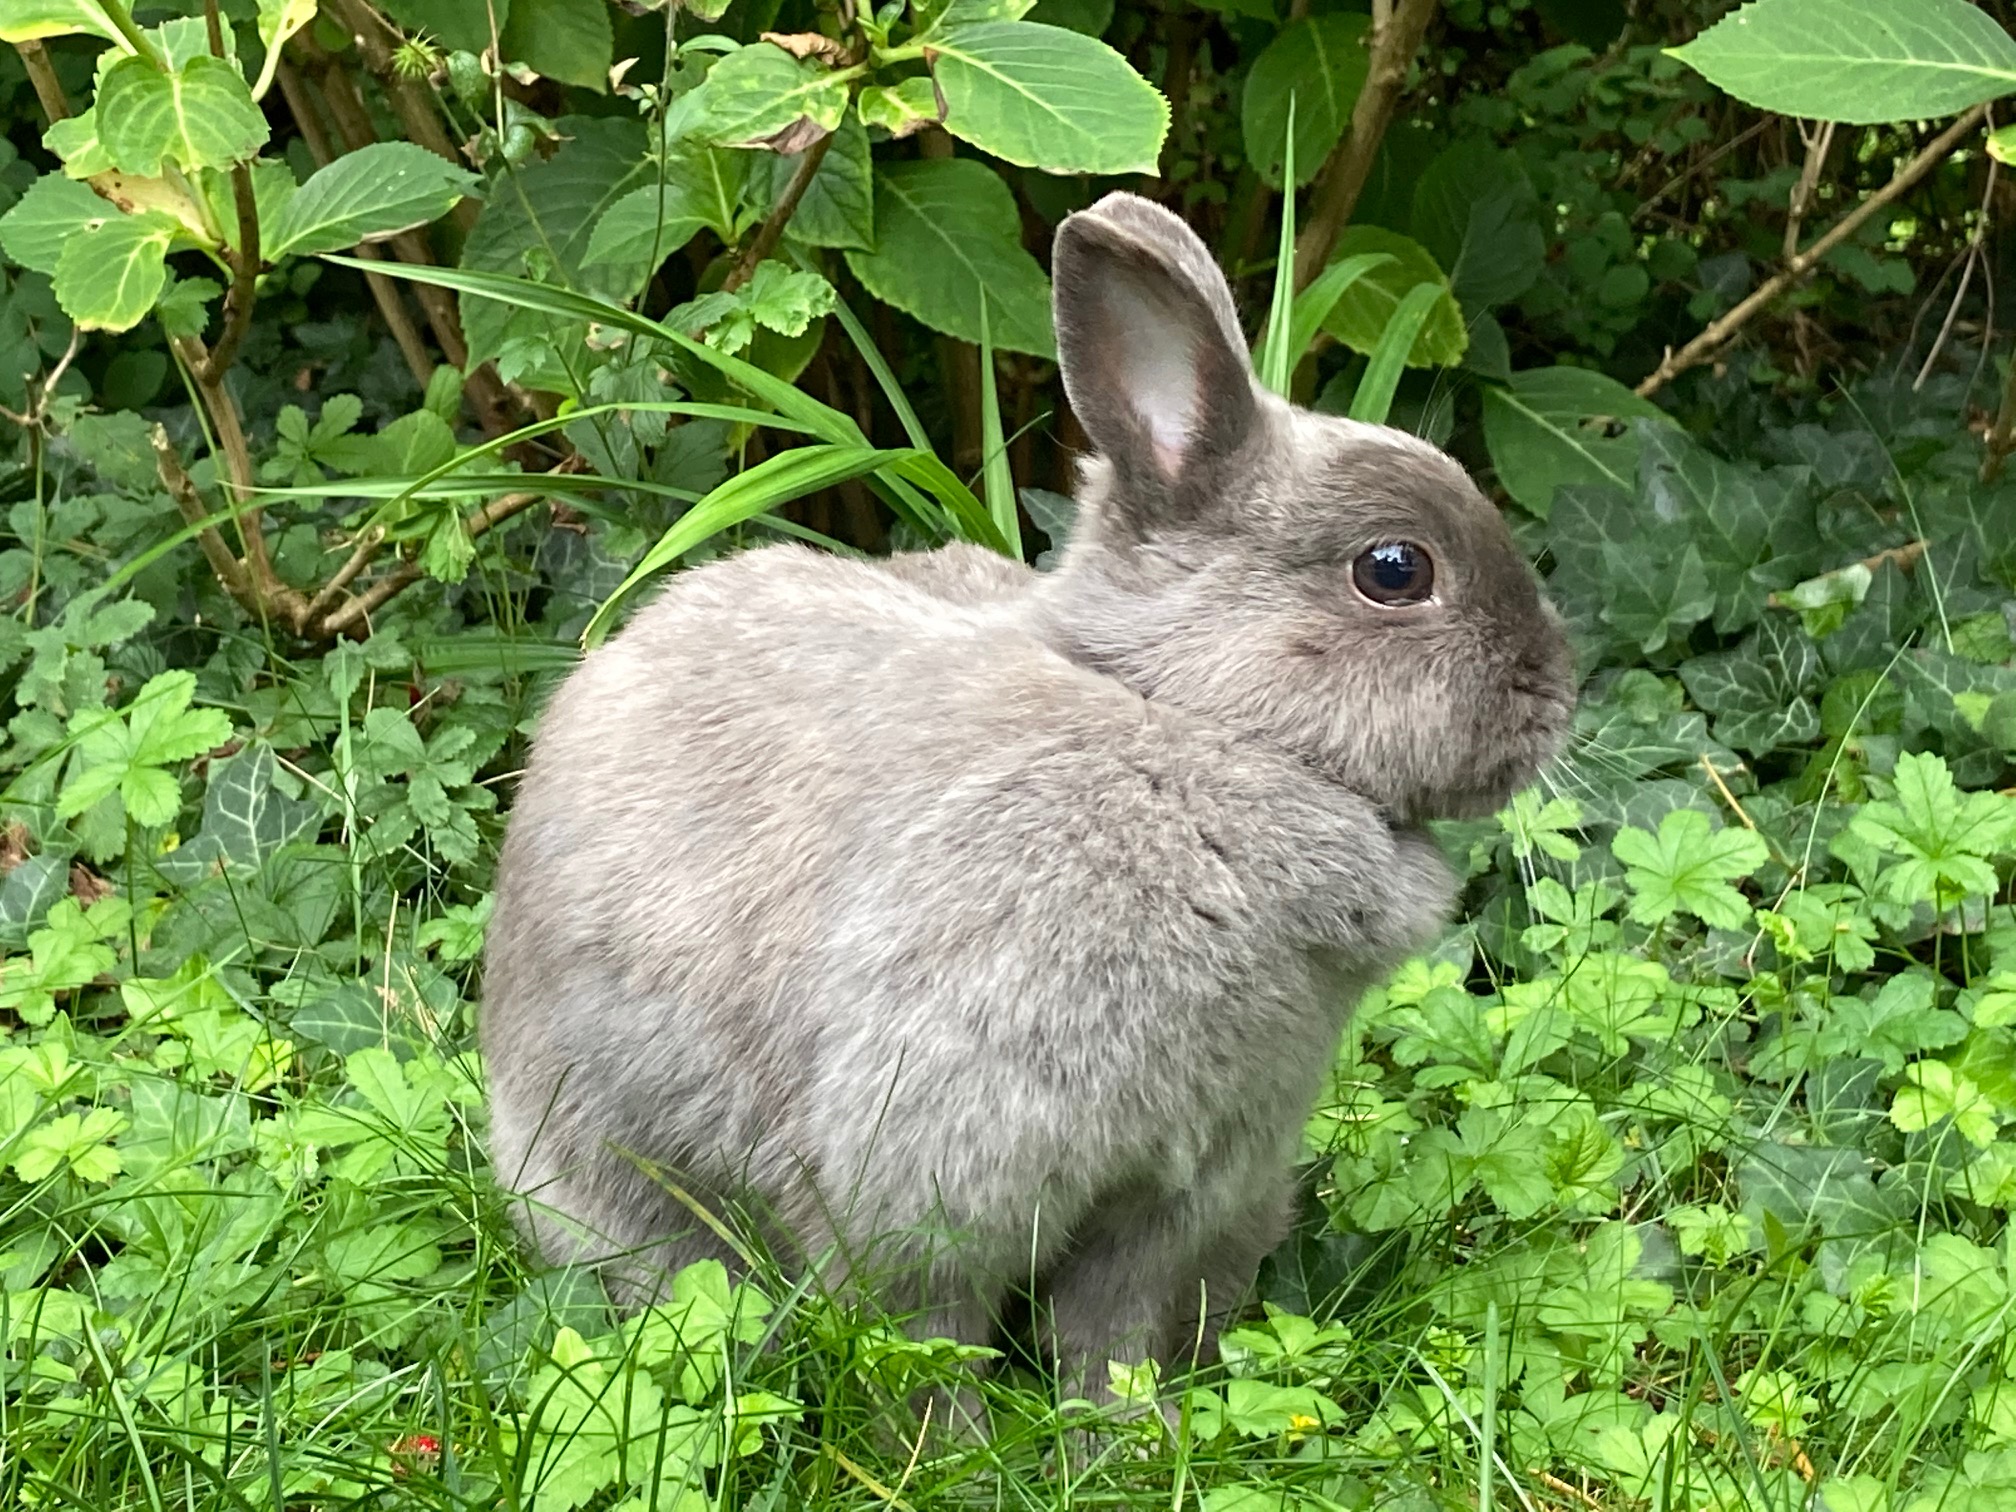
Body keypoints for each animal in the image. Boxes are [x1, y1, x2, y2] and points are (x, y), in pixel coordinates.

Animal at [481, 190, 1575, 1413]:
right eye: (1394, 569)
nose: (1557, 691)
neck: (1187, 728)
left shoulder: (1184, 1195)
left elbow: (1112, 1341)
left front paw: (1123, 1435)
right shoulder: (930, 1185)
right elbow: (930, 1350)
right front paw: (961, 1447)